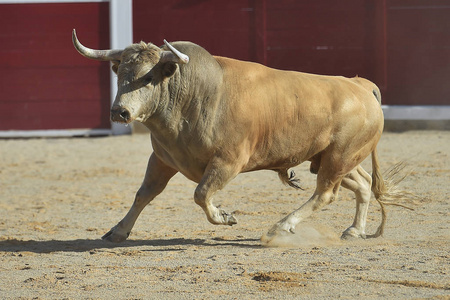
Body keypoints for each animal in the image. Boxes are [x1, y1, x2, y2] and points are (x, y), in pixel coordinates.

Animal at [72, 28, 402, 244]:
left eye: (149, 77)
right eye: (120, 74)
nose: (120, 112)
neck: (194, 95)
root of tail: (361, 85)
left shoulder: (228, 162)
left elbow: (201, 193)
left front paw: (225, 217)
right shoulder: (163, 159)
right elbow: (144, 194)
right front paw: (118, 231)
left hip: (338, 157)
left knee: (325, 193)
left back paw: (280, 228)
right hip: (333, 158)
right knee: (362, 184)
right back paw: (354, 230)